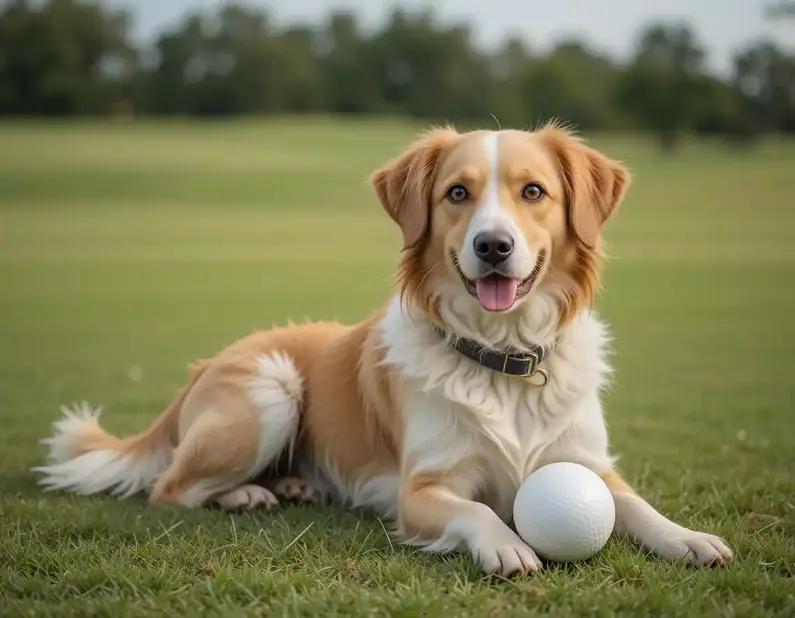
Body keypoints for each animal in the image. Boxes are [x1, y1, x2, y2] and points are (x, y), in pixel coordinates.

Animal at [35, 124, 732, 572]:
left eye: (533, 192)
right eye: (457, 193)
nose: (493, 246)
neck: (504, 358)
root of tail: (203, 368)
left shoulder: (590, 463)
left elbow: (636, 505)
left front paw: (689, 538)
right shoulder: (421, 490)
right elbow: (477, 512)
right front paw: (506, 543)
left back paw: (292, 486)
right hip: (270, 389)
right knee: (171, 487)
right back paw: (247, 495)